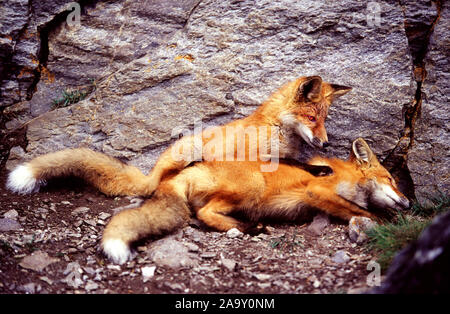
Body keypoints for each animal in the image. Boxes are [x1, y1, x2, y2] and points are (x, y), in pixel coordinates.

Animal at [7, 139, 410, 264]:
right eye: (392, 180)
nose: (408, 204)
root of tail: (175, 176)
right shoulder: (317, 192)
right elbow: (360, 210)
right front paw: (386, 224)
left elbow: (360, 210)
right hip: (249, 190)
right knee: (203, 214)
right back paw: (247, 228)